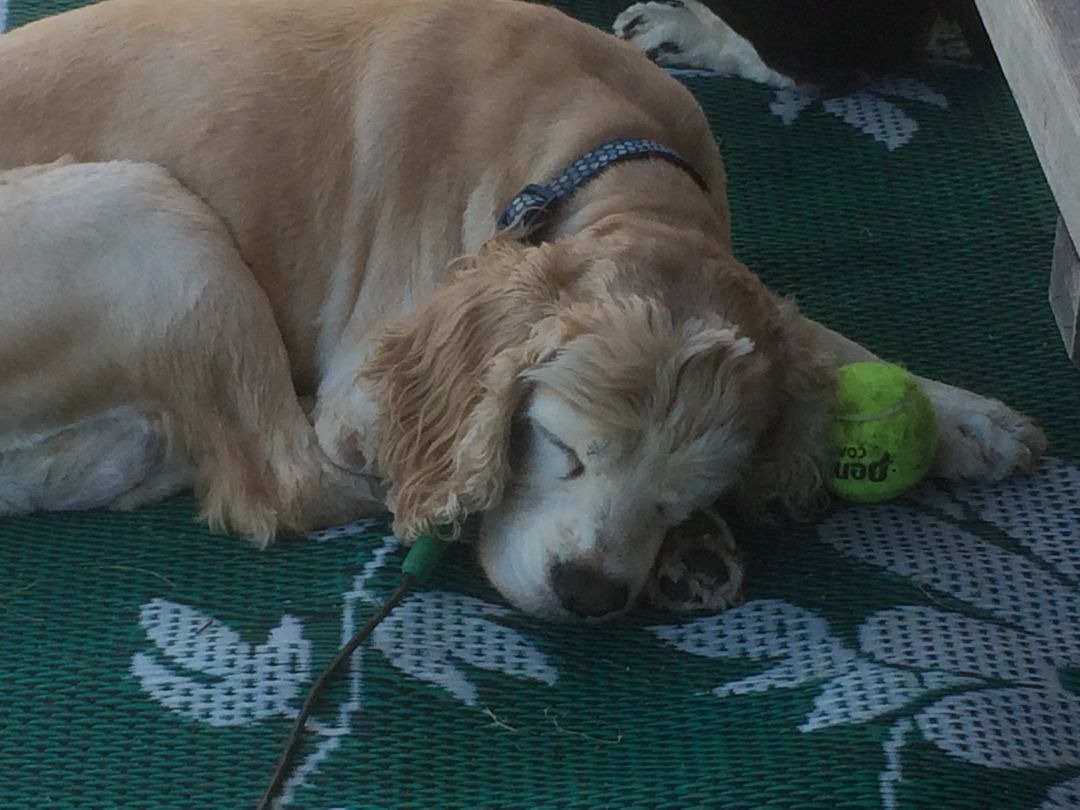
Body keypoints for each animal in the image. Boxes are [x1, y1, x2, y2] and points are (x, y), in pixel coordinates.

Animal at [0, 0, 1044, 621]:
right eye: (559, 446)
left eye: (682, 487)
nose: (588, 592)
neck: (604, 148)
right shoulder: (365, 385)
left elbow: (815, 338)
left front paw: (967, 420)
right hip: (153, 218)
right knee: (277, 478)